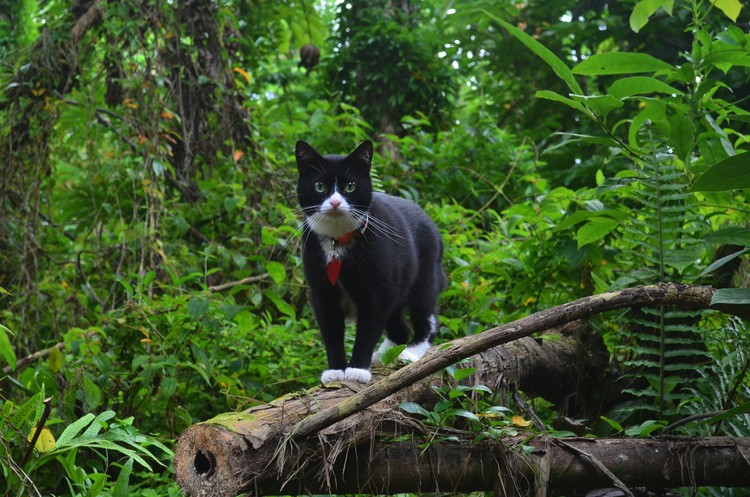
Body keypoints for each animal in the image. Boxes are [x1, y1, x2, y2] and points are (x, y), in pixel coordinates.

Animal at [294, 140, 446, 384]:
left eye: (350, 186)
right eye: (319, 186)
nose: (335, 202)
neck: (337, 243)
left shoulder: (377, 290)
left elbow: (369, 328)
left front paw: (357, 369)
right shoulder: (321, 292)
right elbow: (330, 331)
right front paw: (335, 371)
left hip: (424, 275)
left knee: (426, 316)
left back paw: (410, 352)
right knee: (399, 327)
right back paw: (385, 353)